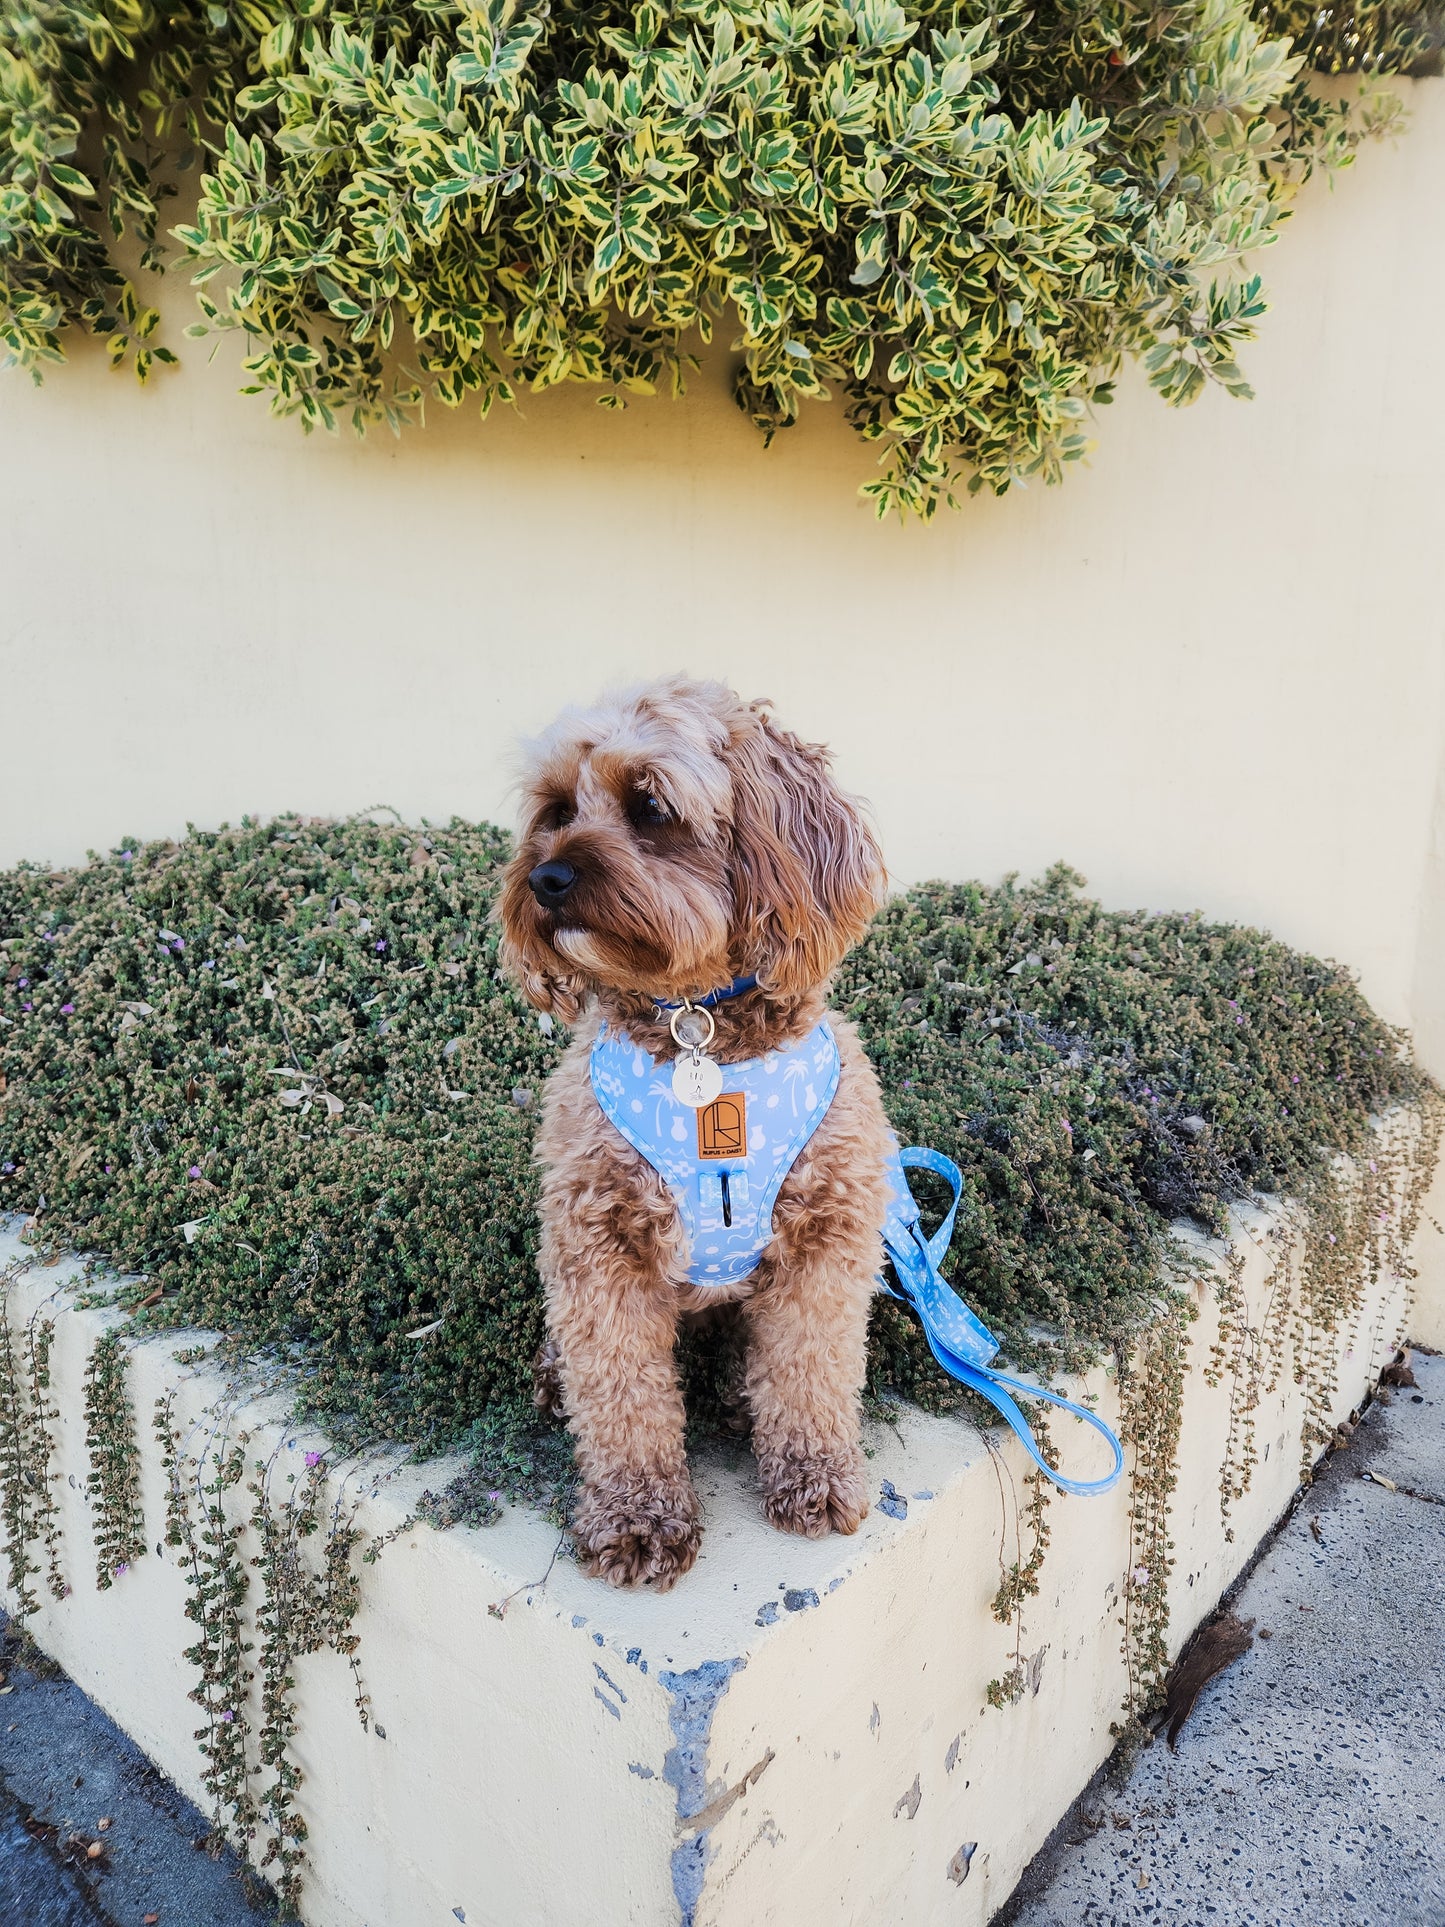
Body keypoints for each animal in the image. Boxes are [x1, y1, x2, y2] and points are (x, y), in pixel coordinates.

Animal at [504, 686, 901, 1587]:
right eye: (554, 811)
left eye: (650, 806)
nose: (544, 877)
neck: (700, 1025)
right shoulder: (599, 1247)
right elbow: (621, 1395)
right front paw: (637, 1518)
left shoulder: (826, 1238)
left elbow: (811, 1368)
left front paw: (815, 1474)